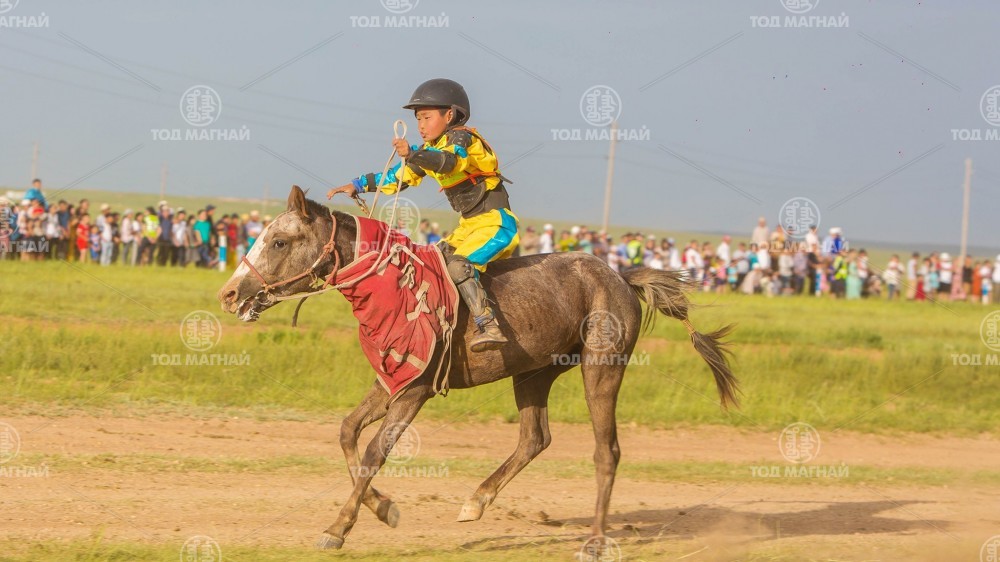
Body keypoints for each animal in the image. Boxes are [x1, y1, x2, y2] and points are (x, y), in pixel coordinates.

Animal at [217, 186, 736, 548]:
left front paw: (339, 527)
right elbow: (347, 433)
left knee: (606, 451)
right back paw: (477, 500)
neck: (392, 285)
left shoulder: (415, 390)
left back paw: (593, 541)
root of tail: (621, 276)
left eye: (279, 241)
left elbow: (373, 453)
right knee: (534, 438)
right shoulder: (392, 379)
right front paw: (383, 508)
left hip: (602, 367)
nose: (229, 293)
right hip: (534, 372)